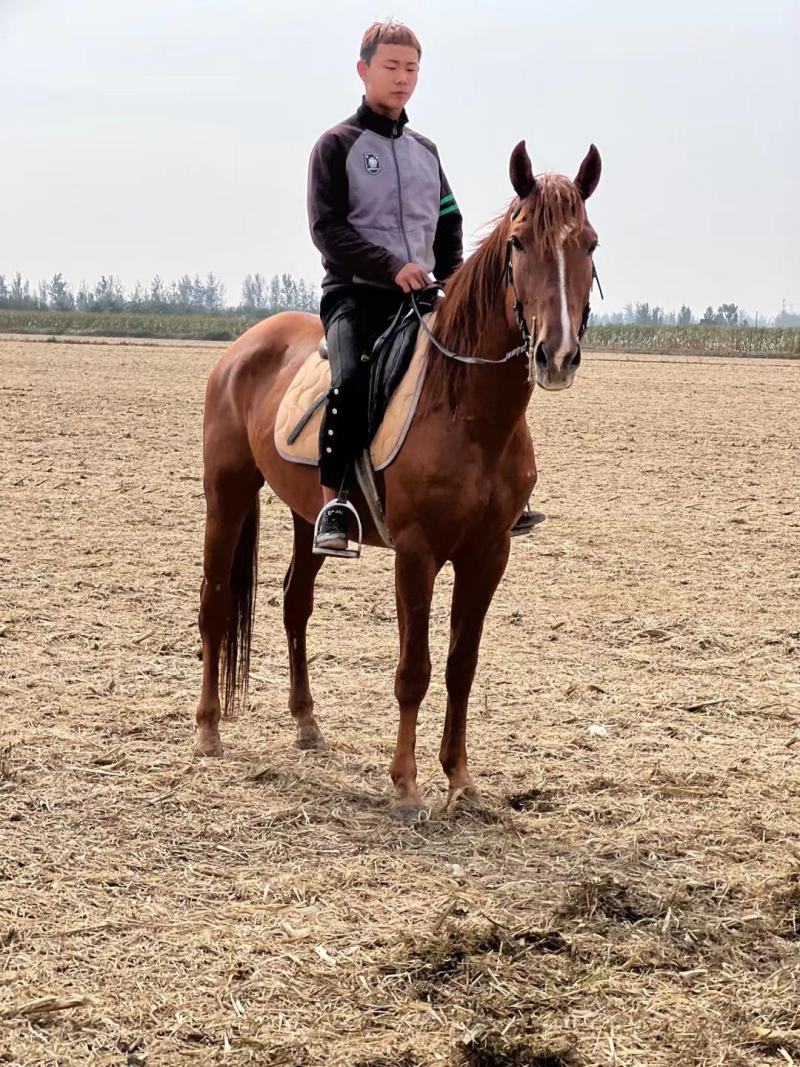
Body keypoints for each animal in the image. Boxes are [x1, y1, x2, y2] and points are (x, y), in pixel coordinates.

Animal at [193, 140, 601, 817]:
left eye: (589, 242)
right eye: (519, 242)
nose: (557, 355)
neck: (467, 411)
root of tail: (244, 345)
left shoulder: (489, 552)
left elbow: (462, 665)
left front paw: (460, 779)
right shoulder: (417, 553)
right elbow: (415, 669)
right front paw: (407, 786)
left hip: (309, 517)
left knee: (296, 604)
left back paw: (306, 724)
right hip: (226, 495)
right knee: (215, 603)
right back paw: (206, 730)